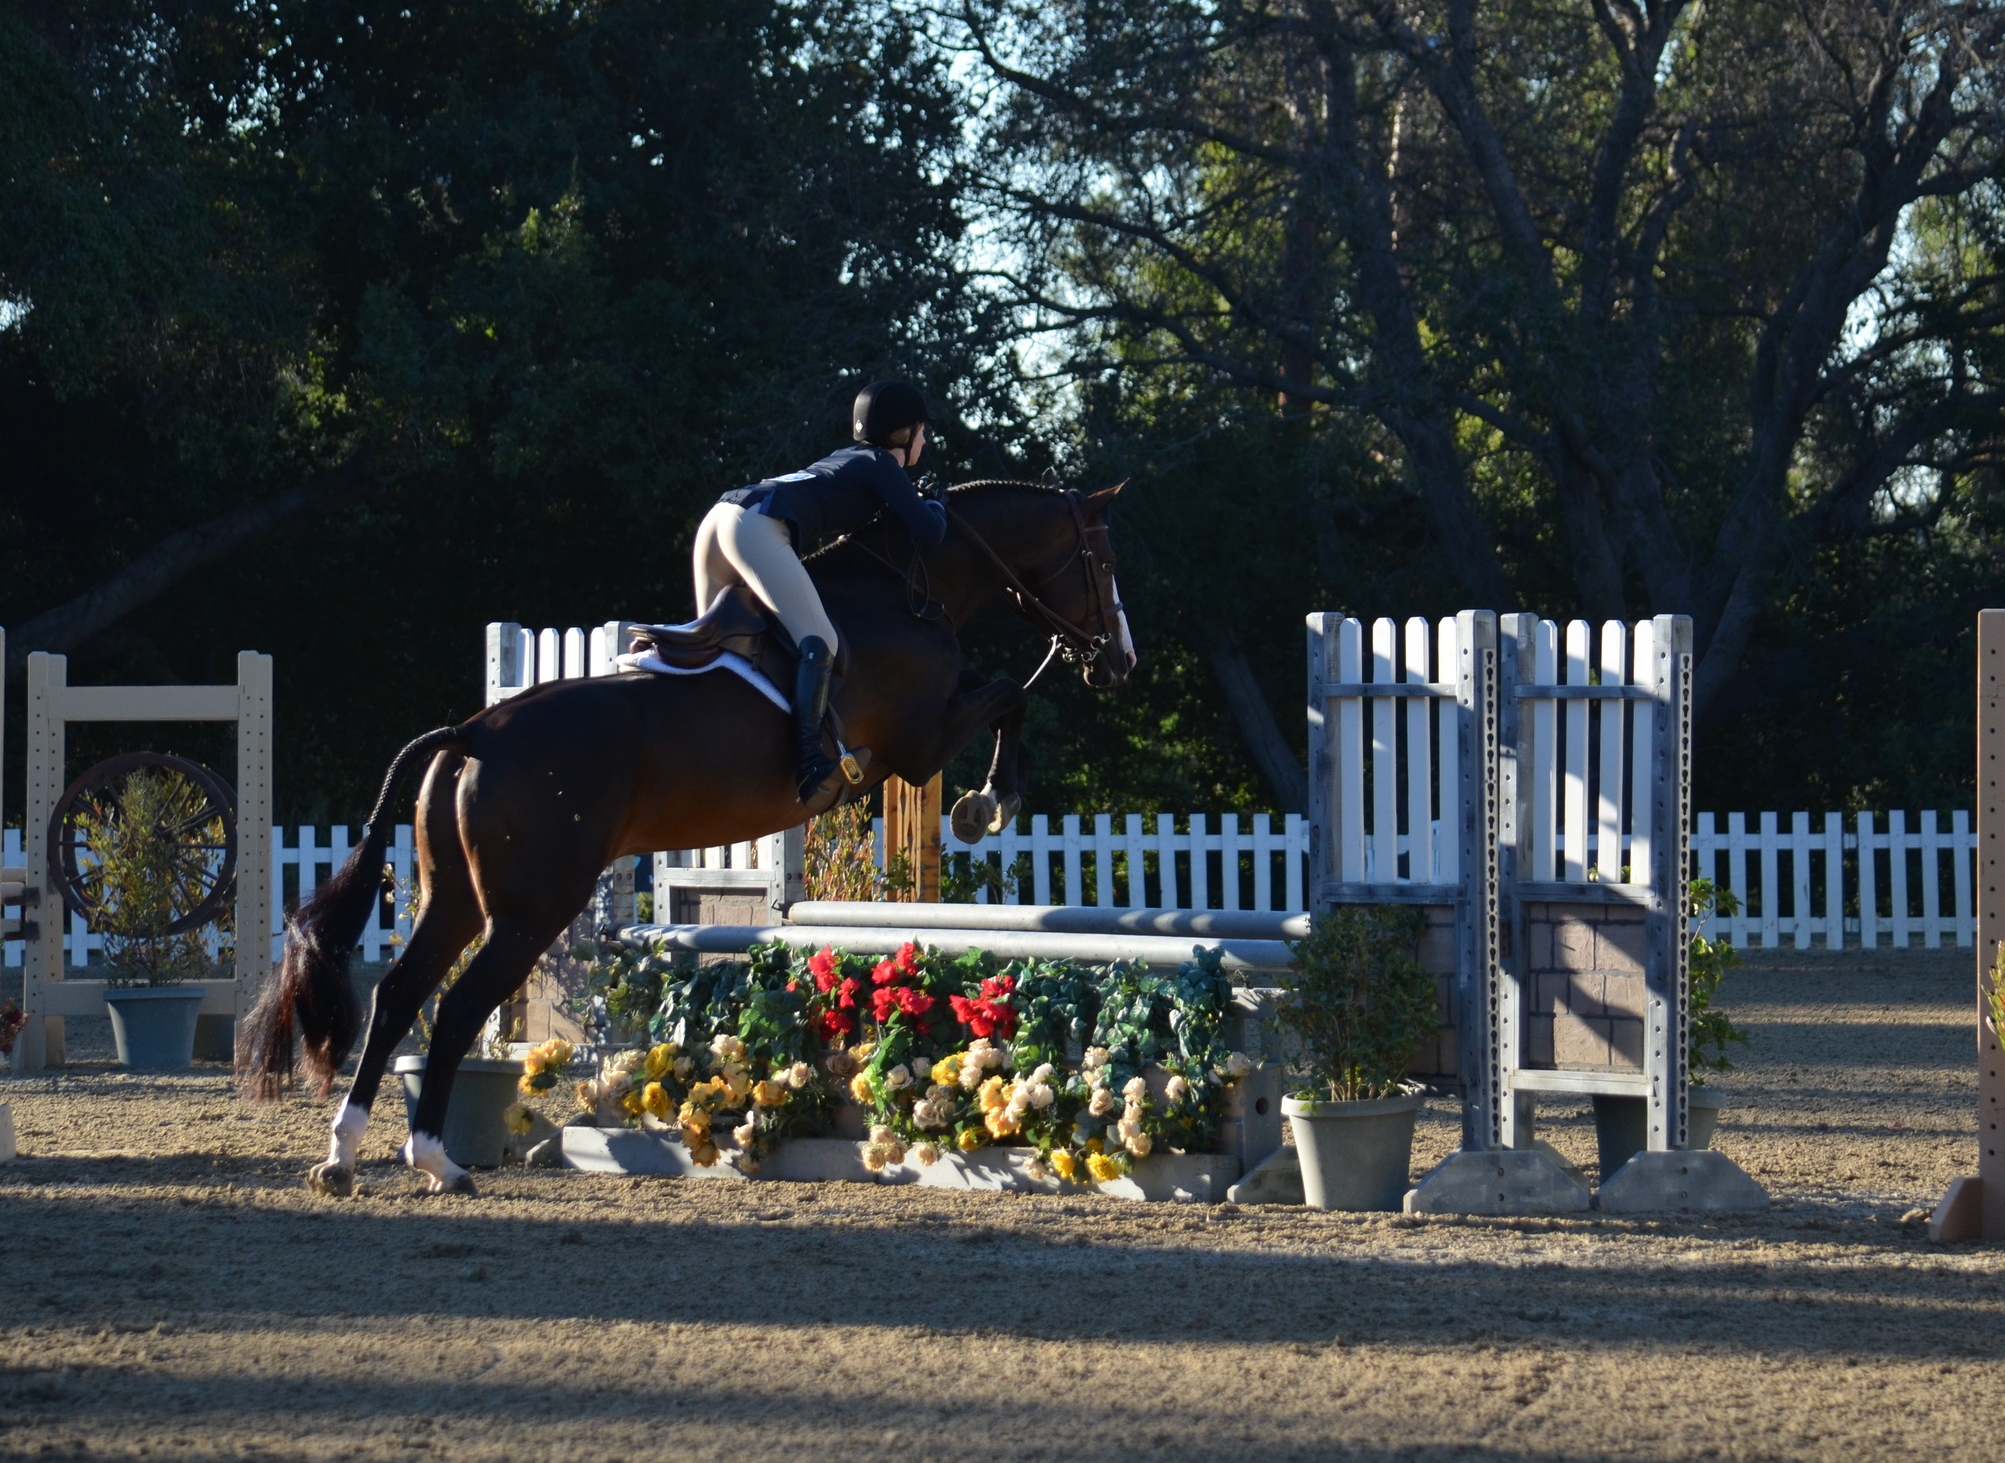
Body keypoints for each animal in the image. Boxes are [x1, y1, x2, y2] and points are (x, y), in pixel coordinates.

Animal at [238, 484, 1130, 1194]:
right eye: (1100, 560)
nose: (1117, 661)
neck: (908, 592)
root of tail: (474, 732)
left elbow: (1003, 694)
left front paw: (991, 797)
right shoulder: (918, 741)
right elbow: (1010, 694)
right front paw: (989, 801)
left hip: (453, 899)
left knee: (397, 996)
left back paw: (343, 1156)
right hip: (529, 911)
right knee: (455, 1008)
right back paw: (436, 1161)